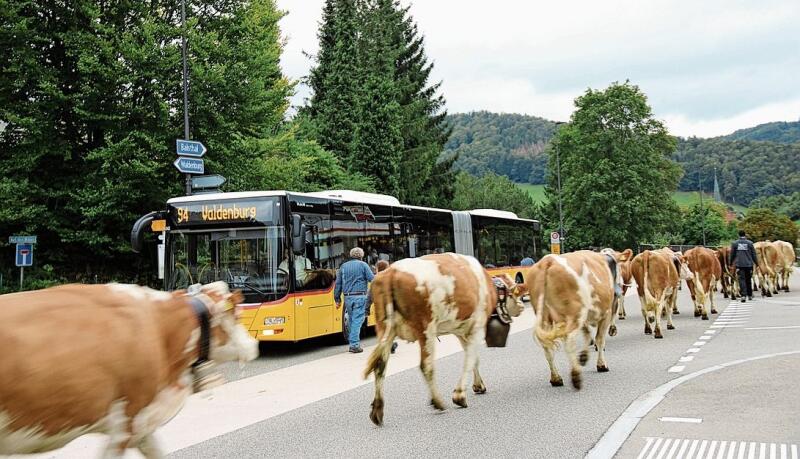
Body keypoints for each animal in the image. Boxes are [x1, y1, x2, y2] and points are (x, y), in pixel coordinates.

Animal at [362, 253, 524, 426]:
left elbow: (473, 358)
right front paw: (459, 395)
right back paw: (438, 401)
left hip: (385, 328)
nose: (521, 306)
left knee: (380, 366)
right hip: (426, 328)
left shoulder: (460, 330)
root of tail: (391, 272)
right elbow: (470, 360)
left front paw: (478, 385)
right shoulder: (477, 328)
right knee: (426, 365)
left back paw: (377, 410)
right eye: (514, 293)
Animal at [524, 250, 632, 390]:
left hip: (545, 317)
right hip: (574, 314)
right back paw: (576, 376)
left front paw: (584, 356)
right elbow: (599, 339)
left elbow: (587, 334)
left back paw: (556, 378)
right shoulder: (606, 313)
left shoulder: (585, 316)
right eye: (619, 267)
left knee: (547, 348)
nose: (619, 288)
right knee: (569, 342)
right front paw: (601, 365)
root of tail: (548, 260)